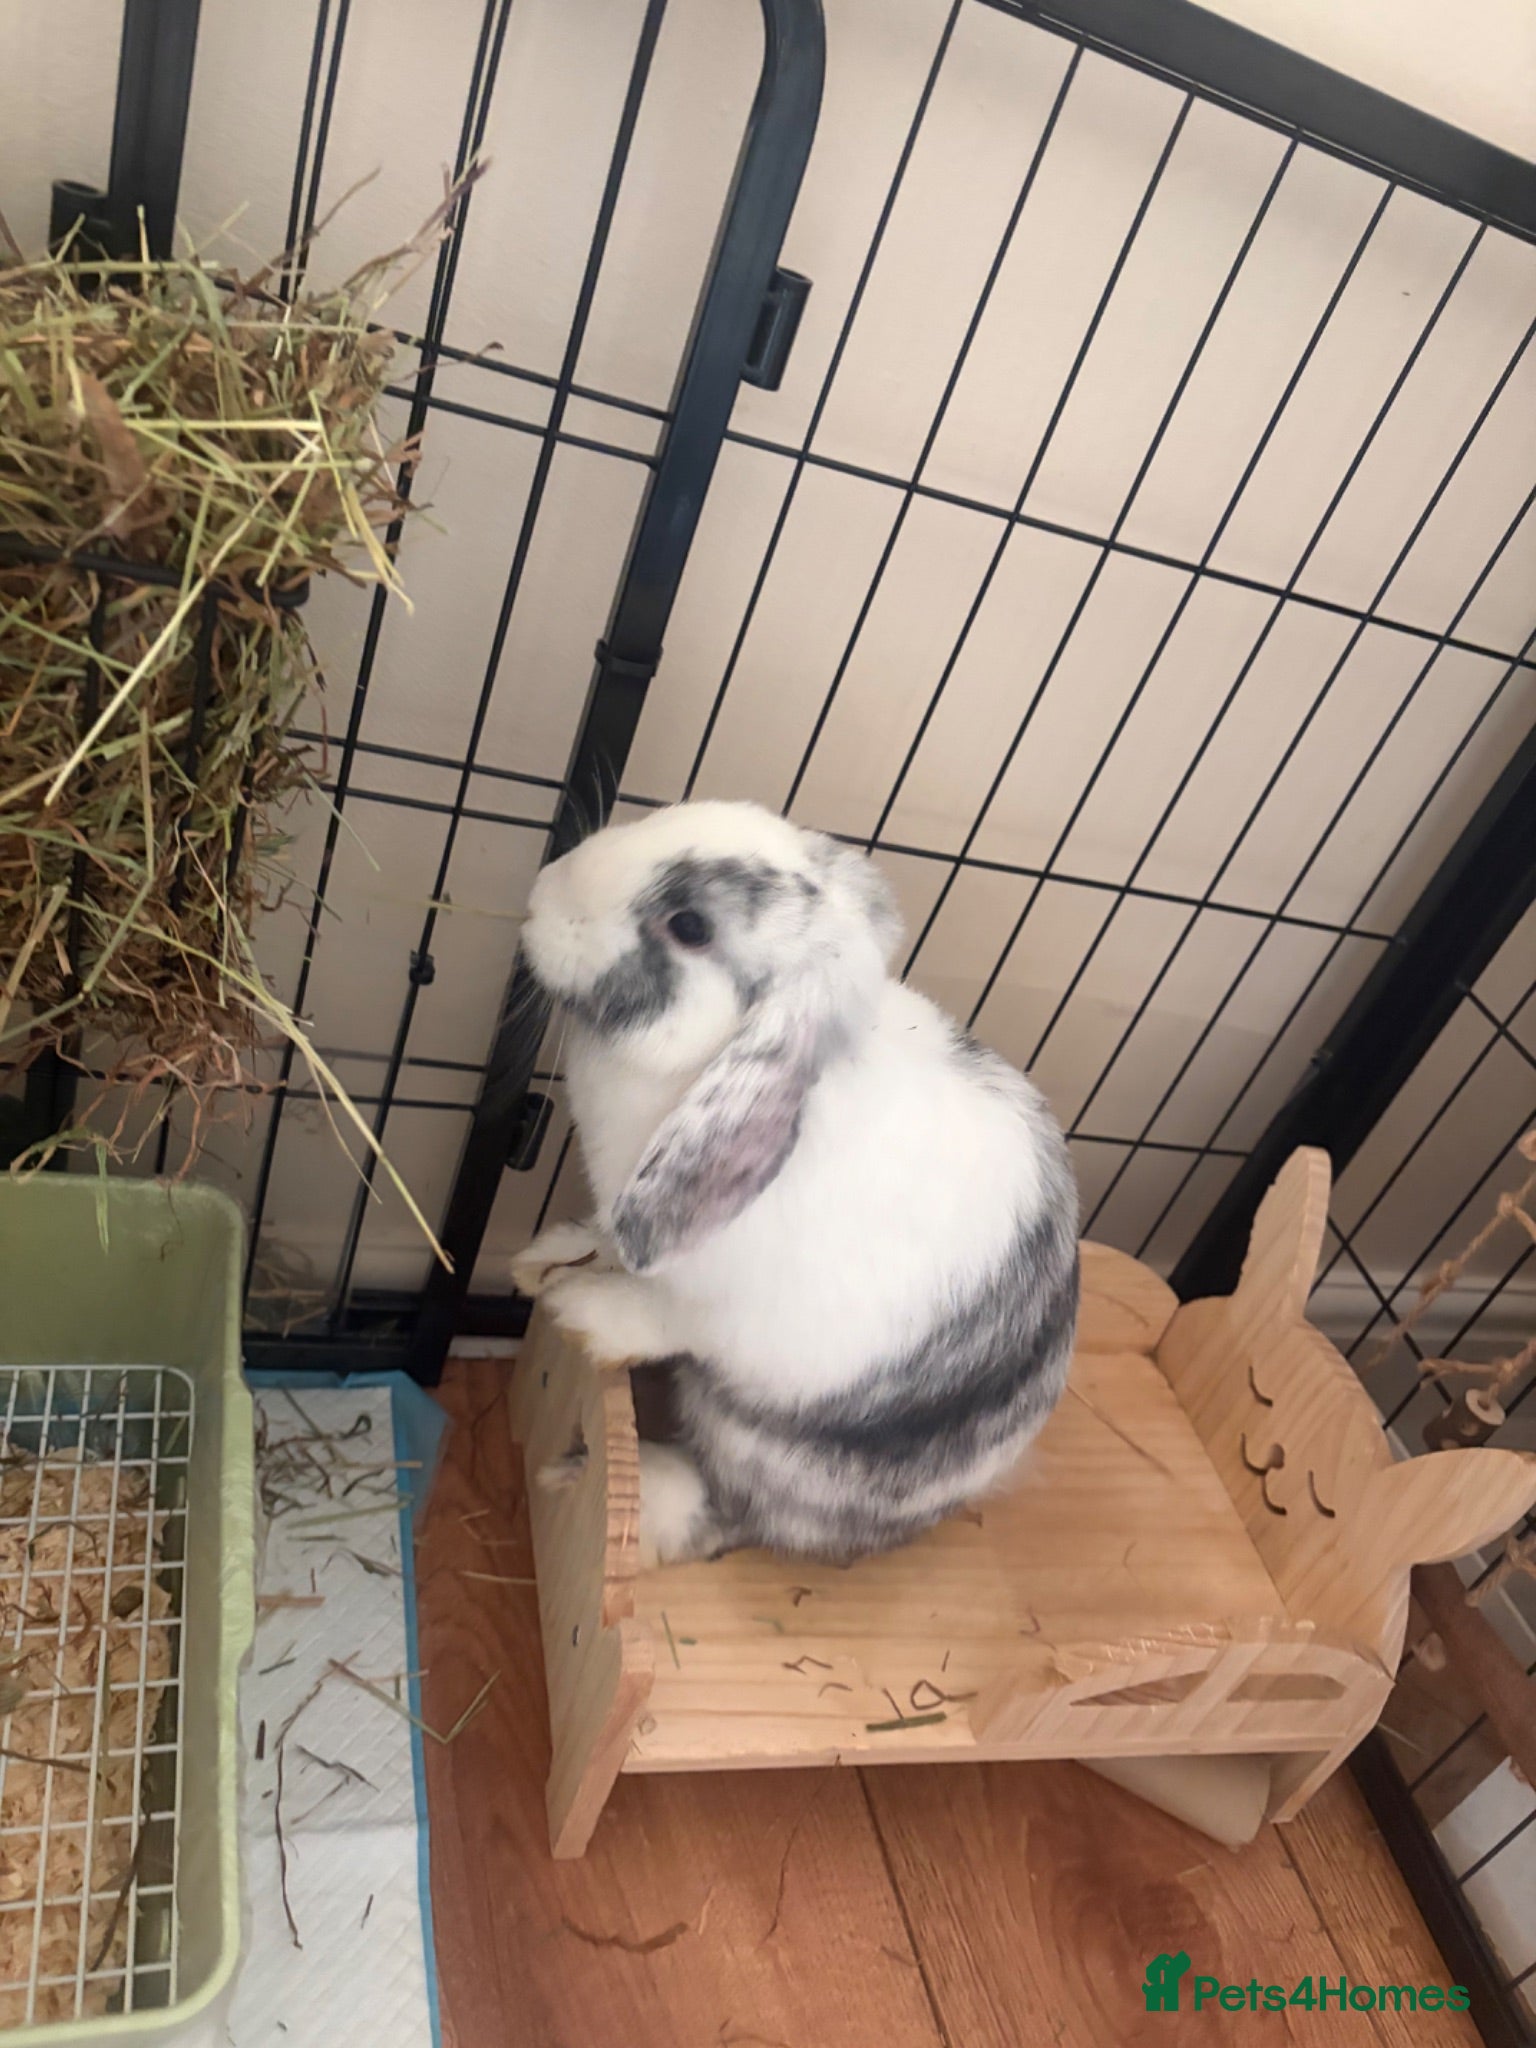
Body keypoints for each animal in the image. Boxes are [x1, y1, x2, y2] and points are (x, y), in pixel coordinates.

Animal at [512, 799, 1079, 1570]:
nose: (538, 898)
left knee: (741, 1516)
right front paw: (543, 1262)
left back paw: (635, 1494)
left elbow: (654, 1312)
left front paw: (577, 1309)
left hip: (760, 1449)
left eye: (690, 926)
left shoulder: (713, 1312)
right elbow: (603, 1240)